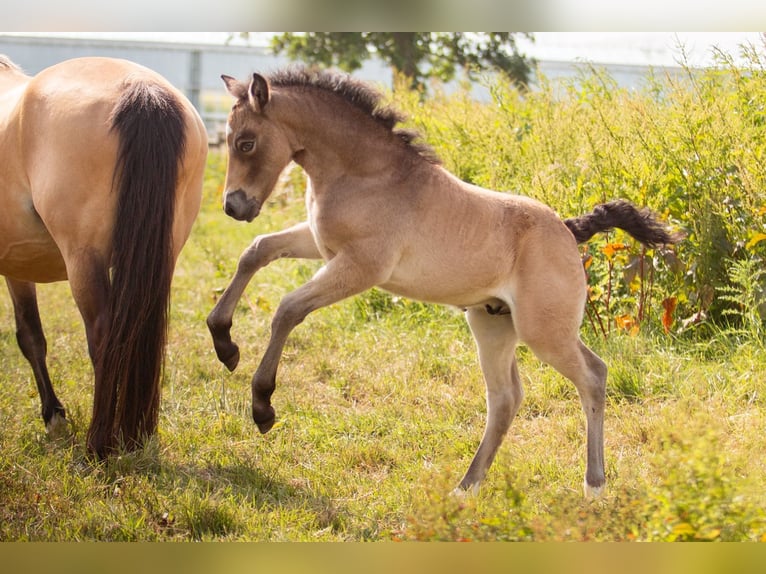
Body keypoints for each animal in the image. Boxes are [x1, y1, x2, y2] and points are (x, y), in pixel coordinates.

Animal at [0, 55, 208, 460]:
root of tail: (142, 89)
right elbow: (32, 335)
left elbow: (29, 336)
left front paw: (54, 416)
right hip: (158, 260)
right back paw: (136, 436)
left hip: (84, 261)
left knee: (103, 336)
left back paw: (99, 445)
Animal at [207, 68, 680, 500]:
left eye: (246, 142)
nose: (234, 206)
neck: (367, 174)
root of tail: (568, 229)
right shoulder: (322, 246)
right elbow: (257, 250)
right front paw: (223, 342)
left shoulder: (361, 267)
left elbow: (288, 308)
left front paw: (262, 405)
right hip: (494, 325)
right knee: (506, 399)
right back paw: (467, 487)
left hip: (544, 332)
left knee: (593, 376)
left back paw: (594, 485)